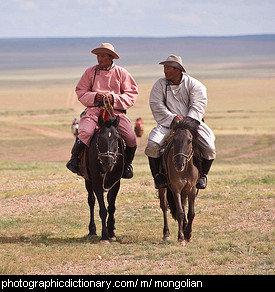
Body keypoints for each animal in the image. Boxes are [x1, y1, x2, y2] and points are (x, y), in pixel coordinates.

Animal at [84, 115, 123, 243]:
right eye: (100, 138)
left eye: (116, 138)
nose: (108, 163)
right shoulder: (96, 182)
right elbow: (103, 209)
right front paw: (104, 236)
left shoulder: (116, 182)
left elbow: (111, 207)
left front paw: (111, 232)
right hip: (88, 181)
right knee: (91, 201)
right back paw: (92, 230)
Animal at [160, 117, 201, 245]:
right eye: (175, 140)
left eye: (189, 140)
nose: (179, 164)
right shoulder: (176, 189)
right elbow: (180, 212)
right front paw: (181, 237)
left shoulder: (191, 188)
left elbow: (190, 212)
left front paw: (188, 233)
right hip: (163, 188)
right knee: (164, 207)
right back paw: (166, 233)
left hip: (185, 190)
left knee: (183, 204)